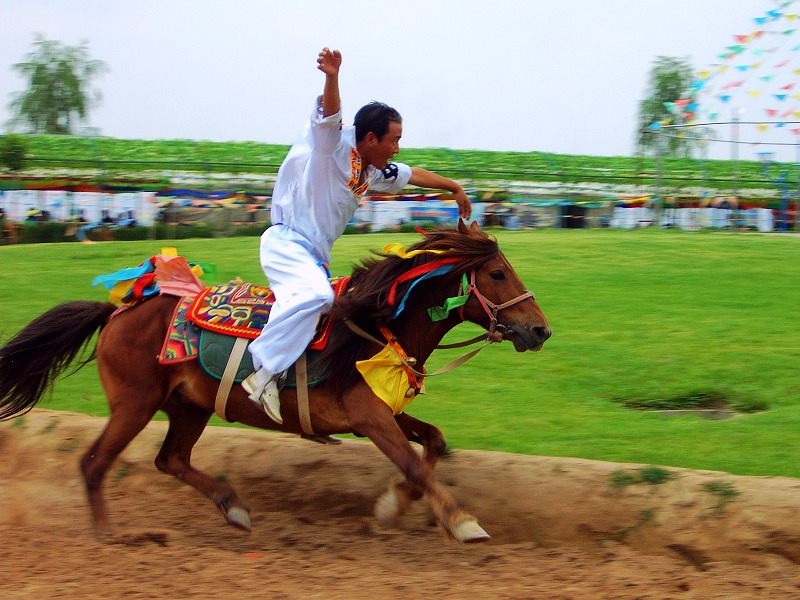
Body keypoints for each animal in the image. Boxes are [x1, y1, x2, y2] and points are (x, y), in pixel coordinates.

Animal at [0, 220, 552, 544]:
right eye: (498, 274)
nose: (540, 330)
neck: (373, 326)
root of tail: (118, 309)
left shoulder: (379, 411)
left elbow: (433, 443)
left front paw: (394, 505)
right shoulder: (369, 416)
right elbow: (416, 464)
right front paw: (461, 520)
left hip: (190, 406)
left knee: (169, 459)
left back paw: (233, 507)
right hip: (135, 404)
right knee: (94, 463)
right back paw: (106, 536)